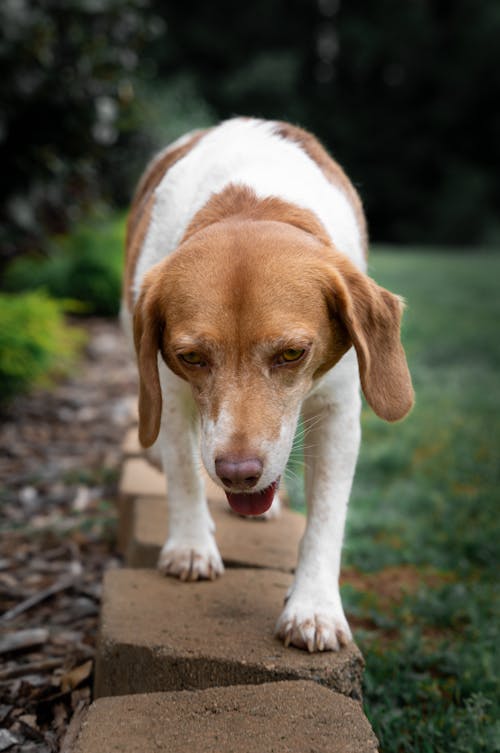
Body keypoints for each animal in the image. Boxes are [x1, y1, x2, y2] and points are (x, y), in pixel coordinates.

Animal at [122, 117, 414, 652]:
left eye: (292, 354)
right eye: (191, 357)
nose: (238, 473)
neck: (250, 204)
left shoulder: (338, 414)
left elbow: (327, 517)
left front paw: (314, 607)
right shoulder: (169, 394)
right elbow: (183, 470)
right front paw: (191, 546)